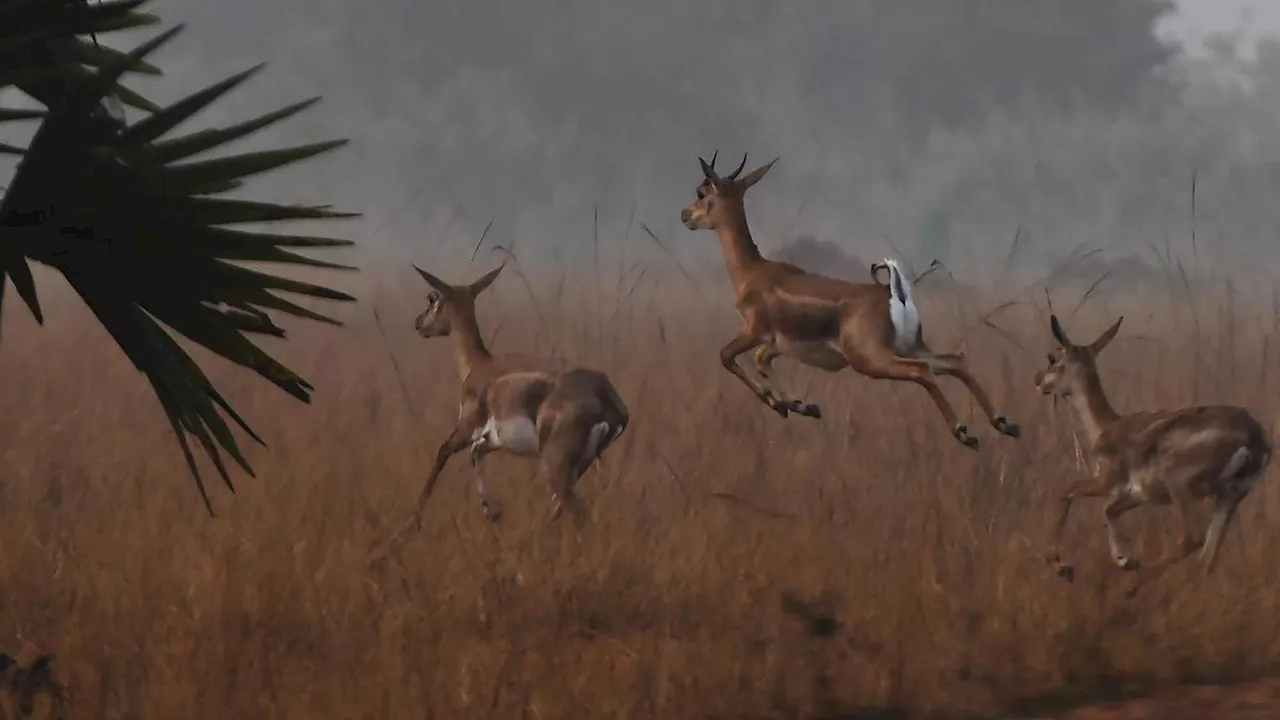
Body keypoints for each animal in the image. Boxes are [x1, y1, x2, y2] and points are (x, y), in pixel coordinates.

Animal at [409, 260, 629, 525]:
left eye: (432, 298)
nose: (419, 323)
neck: (480, 365)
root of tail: (608, 399)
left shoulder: (466, 428)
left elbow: (442, 452)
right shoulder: (492, 440)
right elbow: (475, 454)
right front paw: (492, 510)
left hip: (556, 467)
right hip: (578, 468)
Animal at [680, 152, 1018, 448]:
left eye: (701, 191)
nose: (685, 215)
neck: (752, 273)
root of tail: (894, 292)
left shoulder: (753, 331)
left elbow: (726, 356)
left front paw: (780, 404)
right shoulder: (778, 344)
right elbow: (761, 361)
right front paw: (800, 405)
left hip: (870, 359)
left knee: (922, 372)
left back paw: (965, 433)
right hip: (910, 346)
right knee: (955, 361)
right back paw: (1005, 423)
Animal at [1039, 311, 1269, 579]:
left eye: (1054, 358)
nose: (1038, 380)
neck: (1106, 426)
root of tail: (1253, 438)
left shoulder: (1106, 482)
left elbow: (1067, 491)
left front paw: (1062, 565)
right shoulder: (1137, 495)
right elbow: (1108, 510)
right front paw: (1124, 559)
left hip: (1181, 486)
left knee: (1191, 539)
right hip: (1229, 495)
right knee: (1209, 556)